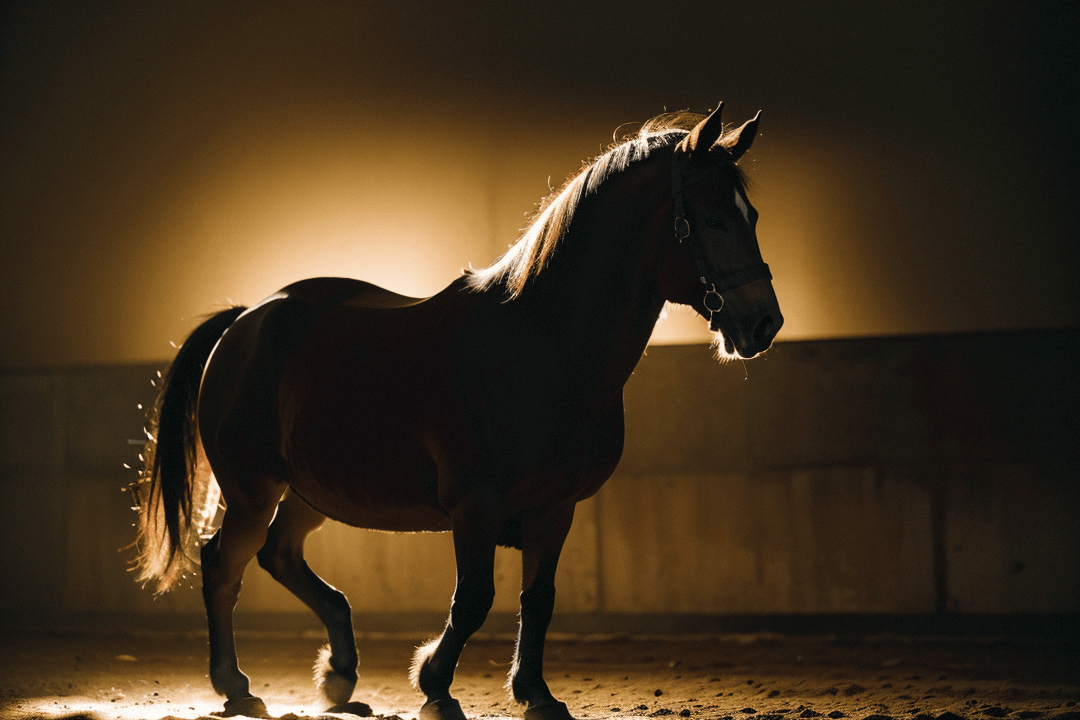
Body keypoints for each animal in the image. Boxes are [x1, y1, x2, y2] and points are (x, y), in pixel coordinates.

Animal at [130, 105, 781, 720]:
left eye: (750, 216)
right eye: (715, 220)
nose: (763, 324)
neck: (542, 346)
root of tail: (245, 319)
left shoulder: (556, 508)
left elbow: (537, 602)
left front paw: (536, 693)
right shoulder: (476, 505)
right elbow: (472, 600)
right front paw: (435, 685)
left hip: (311, 492)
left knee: (279, 556)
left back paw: (340, 672)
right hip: (254, 489)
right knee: (224, 566)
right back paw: (236, 686)